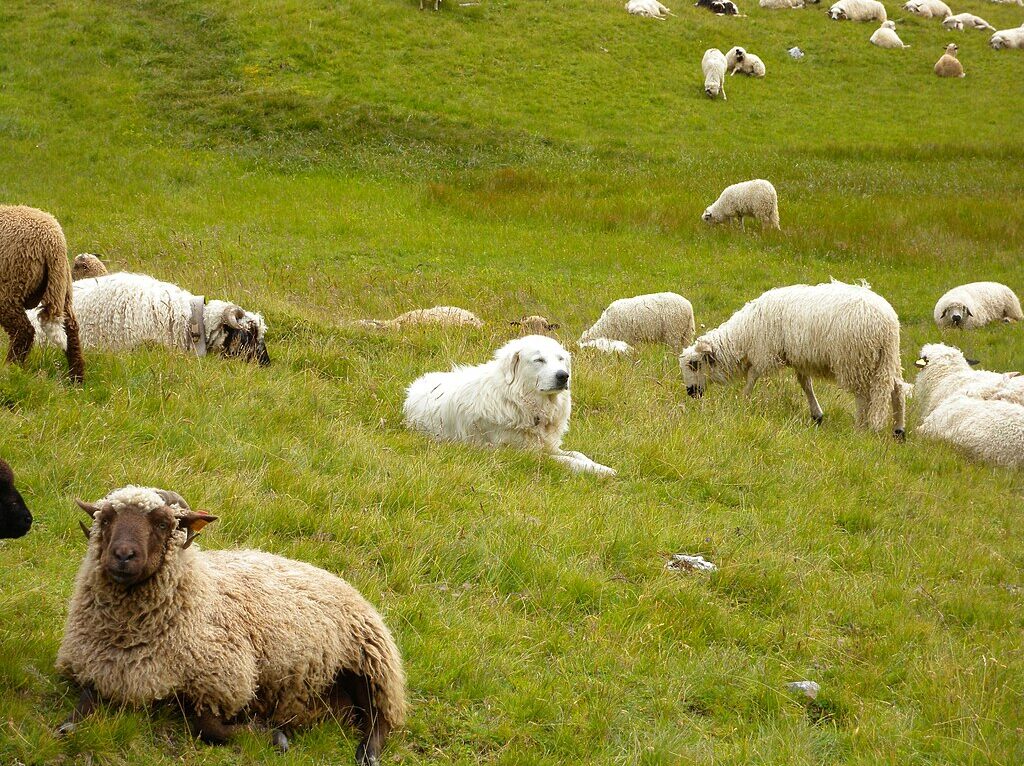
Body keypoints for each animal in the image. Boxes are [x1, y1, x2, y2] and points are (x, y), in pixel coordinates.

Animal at [0, 203, 84, 383]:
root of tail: (53, 243)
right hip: (62, 287)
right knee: (71, 329)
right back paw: (76, 380)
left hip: (10, 285)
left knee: (24, 332)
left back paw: (9, 371)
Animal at [58, 487, 405, 761]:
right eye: (105, 520)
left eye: (162, 523)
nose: (123, 555)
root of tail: (336, 578)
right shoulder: (99, 669)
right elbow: (80, 708)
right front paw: (69, 725)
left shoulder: (222, 680)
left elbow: (207, 727)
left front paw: (273, 737)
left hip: (367, 661)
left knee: (378, 719)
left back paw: (367, 754)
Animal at [403, 335, 614, 473]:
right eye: (539, 360)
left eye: (561, 359)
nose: (563, 376)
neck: (518, 399)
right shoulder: (523, 453)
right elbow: (566, 461)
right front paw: (596, 471)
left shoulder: (547, 445)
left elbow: (578, 454)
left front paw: (601, 466)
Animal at [679, 280, 905, 436]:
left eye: (694, 365)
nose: (690, 392)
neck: (745, 334)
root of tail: (887, 322)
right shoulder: (799, 359)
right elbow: (806, 385)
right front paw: (817, 415)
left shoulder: (765, 351)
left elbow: (752, 376)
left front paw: (743, 400)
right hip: (887, 358)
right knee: (897, 389)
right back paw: (899, 430)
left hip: (854, 358)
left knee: (862, 396)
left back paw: (860, 427)